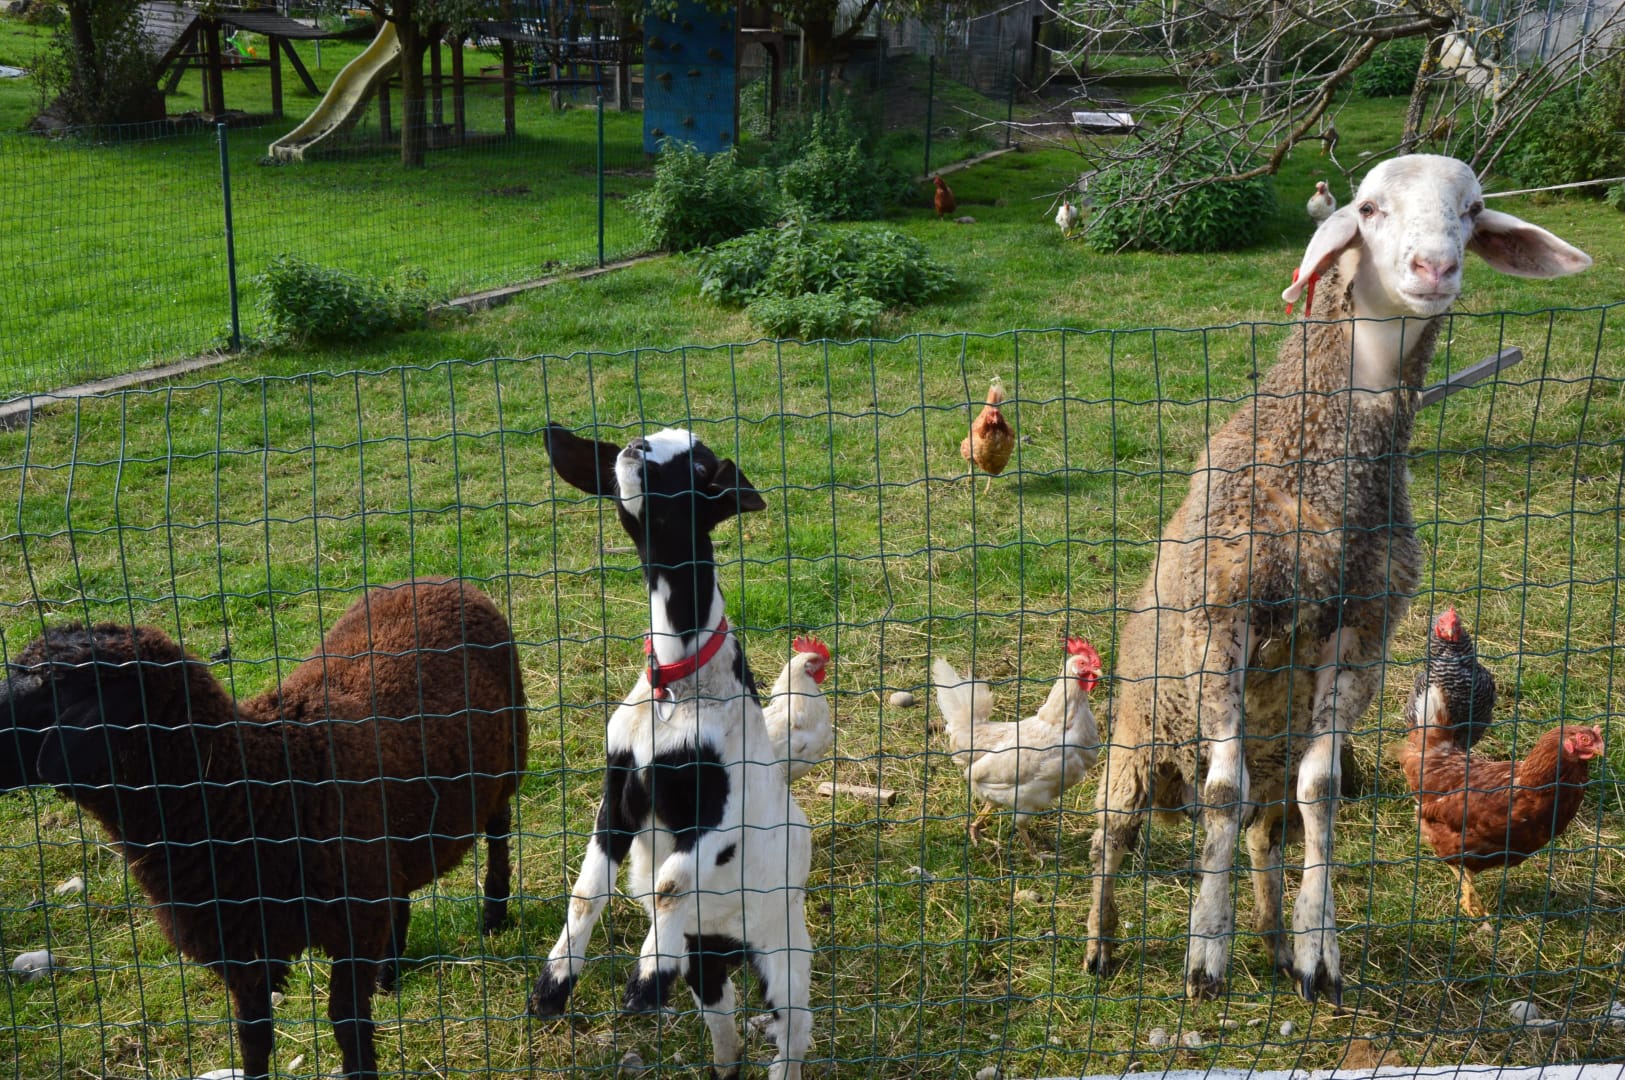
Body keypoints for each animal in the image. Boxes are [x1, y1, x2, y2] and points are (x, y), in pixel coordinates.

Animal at [0, 577, 529, 1080]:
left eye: (54, 685)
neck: (255, 789)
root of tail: (437, 580)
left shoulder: (350, 925)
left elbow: (347, 1024)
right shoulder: (243, 946)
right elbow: (252, 1037)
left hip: (508, 763)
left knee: (499, 834)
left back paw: (493, 914)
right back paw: (391, 969)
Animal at [526, 424, 812, 1080]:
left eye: (700, 465)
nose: (633, 449)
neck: (678, 685)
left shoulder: (718, 811)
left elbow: (670, 883)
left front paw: (645, 980)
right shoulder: (619, 792)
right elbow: (587, 892)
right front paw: (552, 987)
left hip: (783, 946)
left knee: (794, 1028)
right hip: (709, 959)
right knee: (722, 1007)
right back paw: (724, 1061)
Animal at [1081, 155, 1590, 1004]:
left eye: (1471, 210)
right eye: (1368, 207)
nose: (1434, 268)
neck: (1325, 475)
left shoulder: (1360, 630)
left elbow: (1320, 791)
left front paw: (1317, 948)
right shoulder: (1222, 616)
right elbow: (1219, 793)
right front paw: (1204, 948)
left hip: (1268, 758)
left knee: (1263, 835)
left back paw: (1272, 938)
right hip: (1134, 740)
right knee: (1115, 838)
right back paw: (1100, 942)